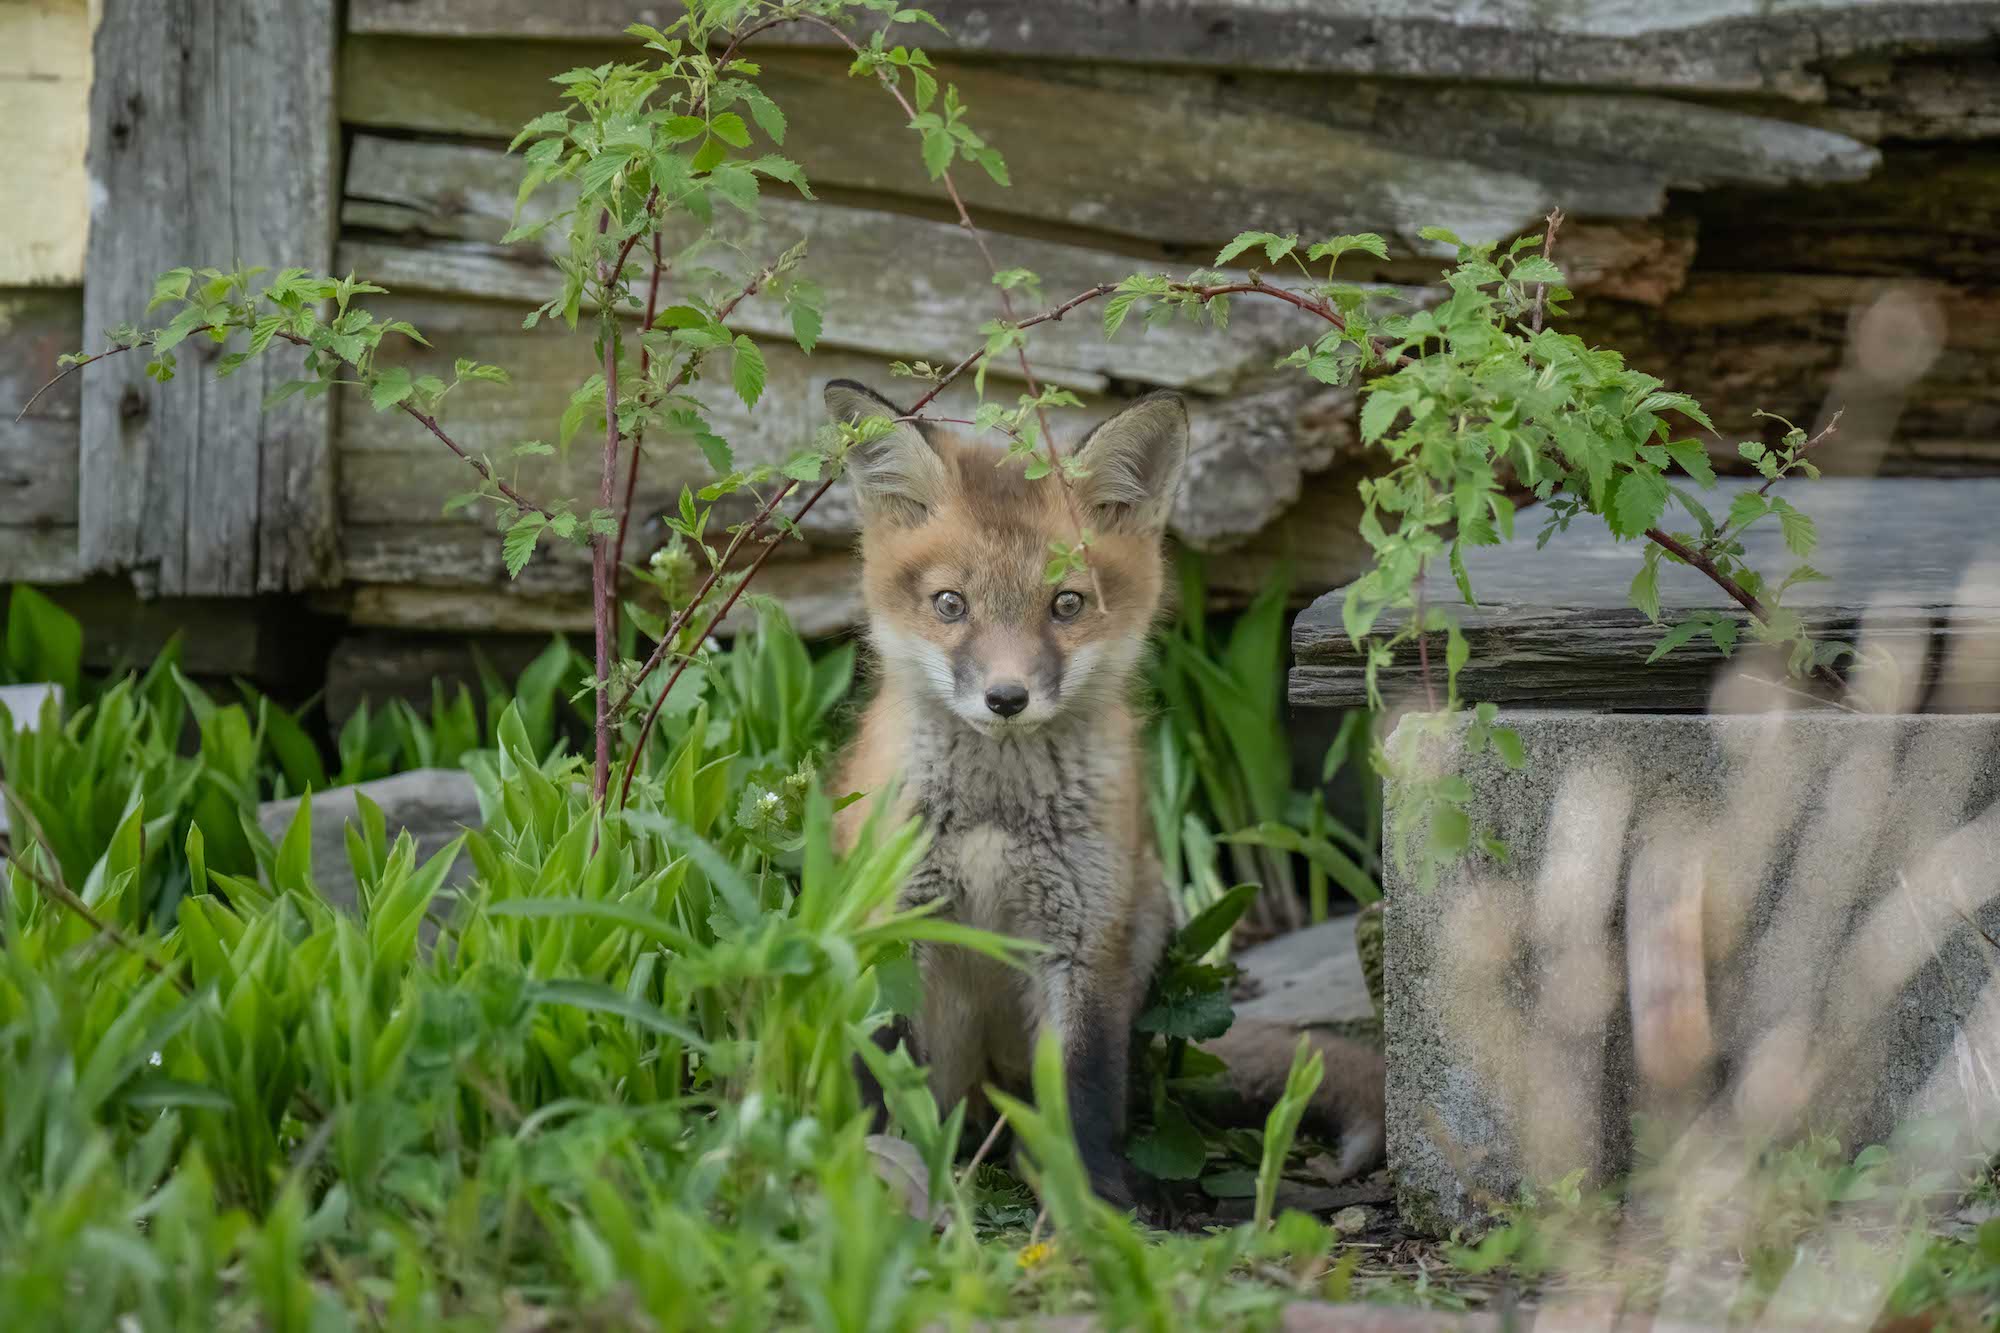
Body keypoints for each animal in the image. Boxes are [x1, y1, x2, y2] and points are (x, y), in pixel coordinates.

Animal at [824, 378, 1386, 1208]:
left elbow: (1084, 1088)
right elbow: (879, 1070)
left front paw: (1092, 1200)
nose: (1006, 698)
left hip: (1146, 916)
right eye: (951, 603)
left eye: (1066, 604)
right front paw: (872, 1175)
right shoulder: (896, 921)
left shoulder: (1085, 938)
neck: (996, 814)